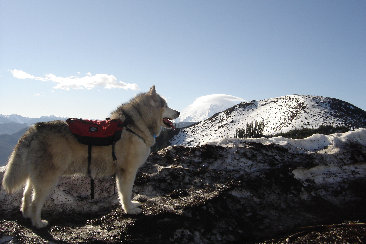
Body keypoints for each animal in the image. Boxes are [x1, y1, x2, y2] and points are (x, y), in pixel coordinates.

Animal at [2, 86, 179, 229]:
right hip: (48, 179)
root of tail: (34, 128)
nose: (178, 112)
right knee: (35, 202)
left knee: (26, 195)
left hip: (36, 176)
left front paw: (130, 206)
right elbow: (126, 193)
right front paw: (130, 209)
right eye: (166, 105)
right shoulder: (127, 171)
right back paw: (38, 223)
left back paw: (27, 215)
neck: (134, 126)